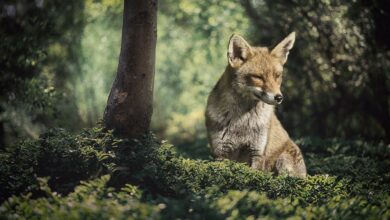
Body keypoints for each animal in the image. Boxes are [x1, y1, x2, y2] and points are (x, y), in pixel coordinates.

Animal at [206, 32, 306, 177]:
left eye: (277, 76)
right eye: (258, 77)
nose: (279, 97)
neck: (241, 122)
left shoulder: (257, 152)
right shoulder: (221, 152)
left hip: (283, 161)